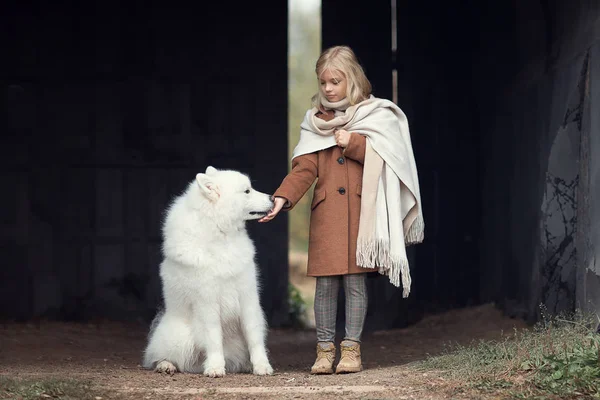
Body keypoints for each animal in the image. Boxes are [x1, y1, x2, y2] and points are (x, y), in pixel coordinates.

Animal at [144, 166, 276, 378]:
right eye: (247, 191)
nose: (273, 197)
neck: (221, 233)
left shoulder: (248, 297)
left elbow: (254, 337)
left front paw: (262, 366)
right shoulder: (207, 302)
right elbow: (214, 338)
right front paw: (215, 367)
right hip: (179, 337)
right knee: (163, 356)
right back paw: (167, 365)